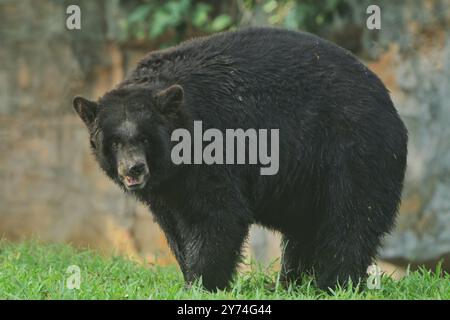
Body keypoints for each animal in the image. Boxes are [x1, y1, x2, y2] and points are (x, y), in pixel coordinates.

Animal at [73, 27, 408, 292]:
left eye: (144, 137)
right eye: (114, 141)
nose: (134, 169)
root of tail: (390, 106)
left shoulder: (214, 144)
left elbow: (216, 214)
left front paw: (202, 282)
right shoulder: (167, 187)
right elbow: (172, 224)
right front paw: (189, 274)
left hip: (354, 151)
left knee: (350, 219)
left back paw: (331, 282)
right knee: (307, 229)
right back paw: (291, 281)